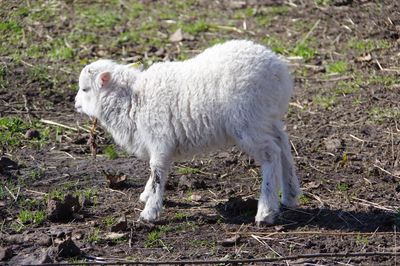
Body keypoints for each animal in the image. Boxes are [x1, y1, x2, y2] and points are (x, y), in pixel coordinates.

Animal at [74, 40, 300, 225]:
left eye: (85, 89)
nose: (75, 103)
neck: (132, 98)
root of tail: (279, 72)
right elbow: (153, 172)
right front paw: (146, 195)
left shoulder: (159, 138)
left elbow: (157, 173)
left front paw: (149, 212)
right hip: (266, 118)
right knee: (283, 144)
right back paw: (290, 195)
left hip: (248, 121)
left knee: (271, 154)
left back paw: (266, 211)